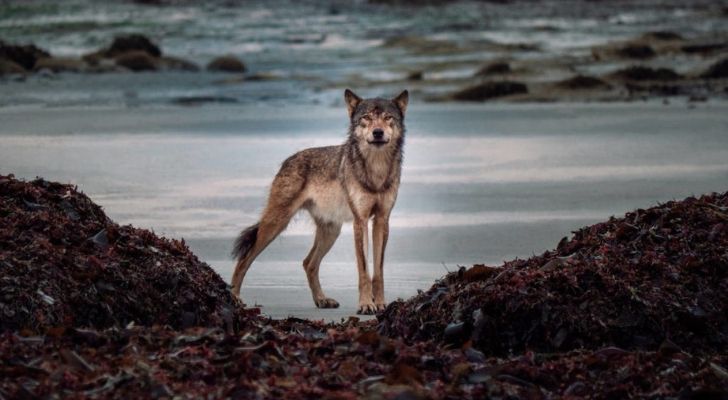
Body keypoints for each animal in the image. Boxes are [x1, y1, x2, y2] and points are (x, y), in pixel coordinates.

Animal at [230, 89, 406, 314]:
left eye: (387, 117)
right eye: (366, 117)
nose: (377, 132)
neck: (376, 169)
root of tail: (288, 160)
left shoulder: (382, 220)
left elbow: (378, 271)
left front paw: (381, 303)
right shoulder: (360, 221)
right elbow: (364, 270)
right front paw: (366, 304)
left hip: (331, 231)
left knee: (308, 263)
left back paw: (322, 300)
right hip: (275, 225)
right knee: (244, 260)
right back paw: (234, 297)